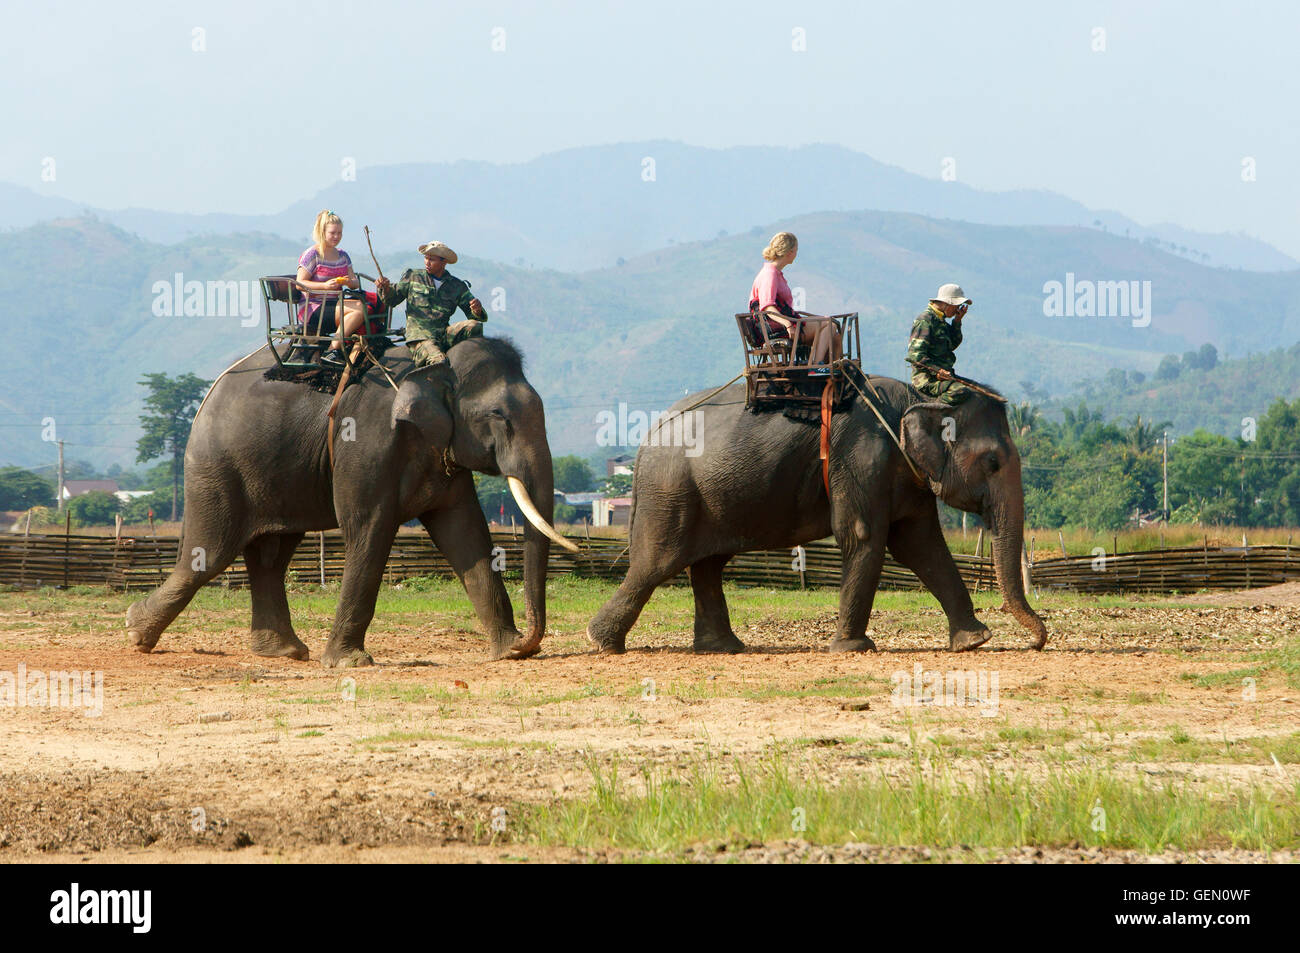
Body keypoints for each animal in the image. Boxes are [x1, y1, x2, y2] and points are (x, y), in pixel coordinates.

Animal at [125, 338, 574, 665]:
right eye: (499, 416)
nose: (529, 643)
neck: (435, 363)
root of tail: (209, 393)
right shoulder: (366, 443)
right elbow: (369, 528)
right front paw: (350, 663)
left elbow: (466, 534)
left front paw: (507, 651)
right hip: (217, 465)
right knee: (211, 553)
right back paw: (135, 632)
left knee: (271, 555)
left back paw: (285, 652)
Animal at [587, 374, 1045, 655]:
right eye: (992, 462)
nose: (1038, 640)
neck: (919, 398)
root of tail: (645, 439)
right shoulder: (859, 457)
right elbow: (864, 535)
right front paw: (853, 649)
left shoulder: (904, 474)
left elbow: (921, 545)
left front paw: (974, 641)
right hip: (670, 493)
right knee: (655, 564)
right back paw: (602, 643)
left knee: (707, 565)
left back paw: (724, 648)